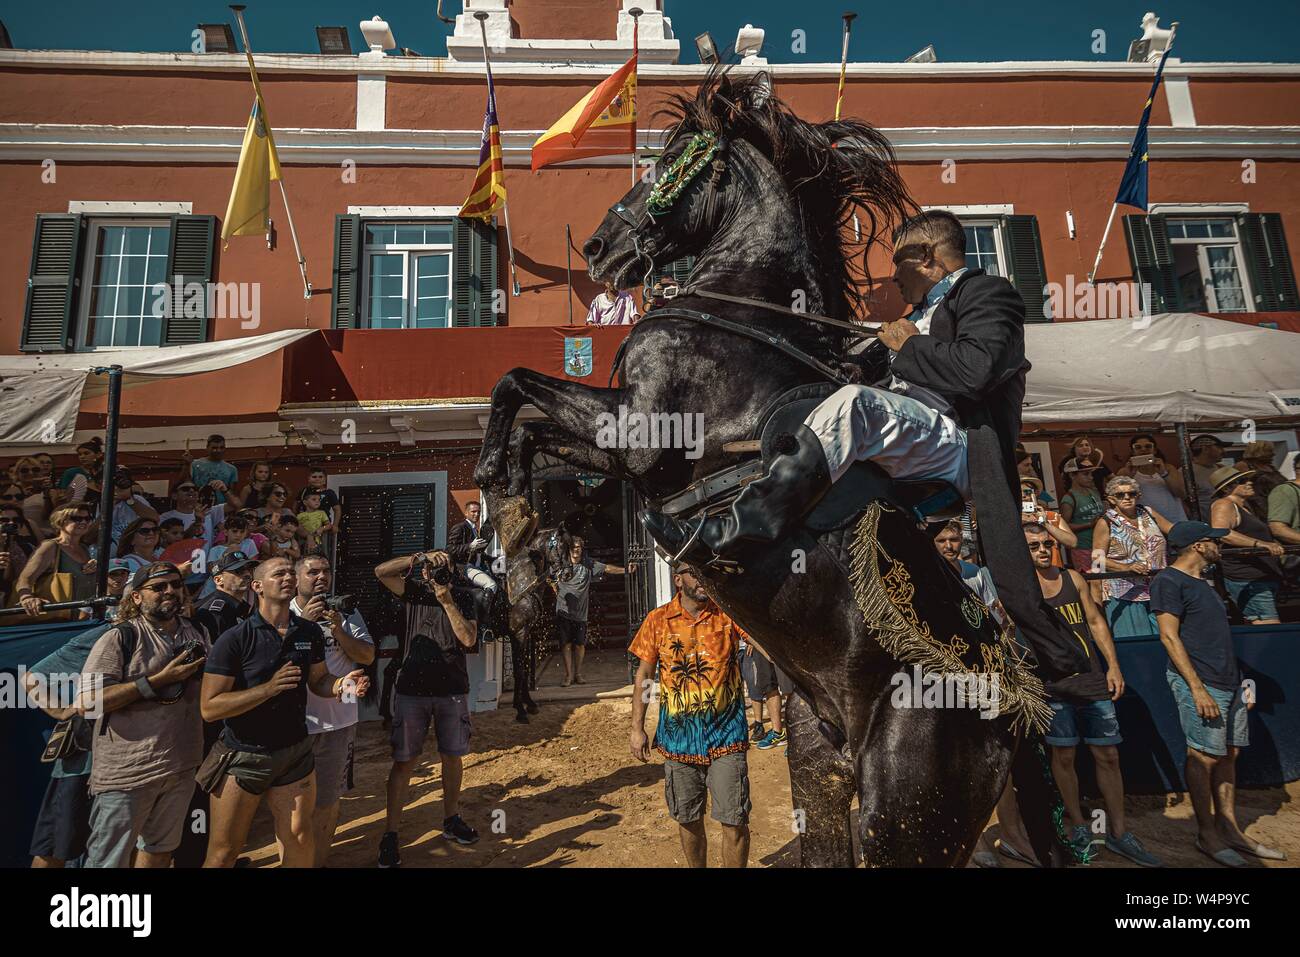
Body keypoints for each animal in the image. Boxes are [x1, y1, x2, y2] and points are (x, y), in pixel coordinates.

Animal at [478, 70, 1066, 868]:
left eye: (672, 163)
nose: (600, 246)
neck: (747, 314)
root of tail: (1018, 711)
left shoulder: (641, 433)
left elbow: (513, 383)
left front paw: (500, 503)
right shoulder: (627, 447)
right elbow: (527, 424)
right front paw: (516, 540)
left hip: (905, 811)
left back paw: (720, 532)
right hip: (820, 763)